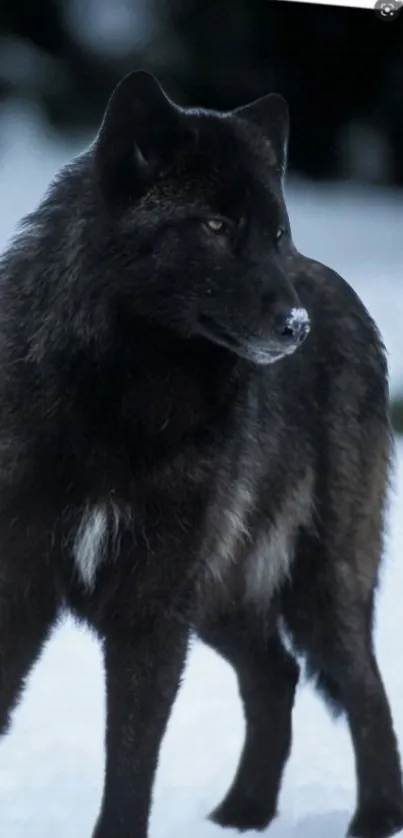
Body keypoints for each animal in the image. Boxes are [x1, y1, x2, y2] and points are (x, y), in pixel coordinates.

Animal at [0, 72, 402, 838]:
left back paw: (370, 820)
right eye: (215, 227)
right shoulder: (26, 588)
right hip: (222, 593)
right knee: (275, 674)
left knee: (364, 690)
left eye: (275, 233)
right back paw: (242, 815)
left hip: (317, 589)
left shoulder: (152, 609)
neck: (122, 401)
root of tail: (335, 289)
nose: (296, 327)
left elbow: (131, 771)